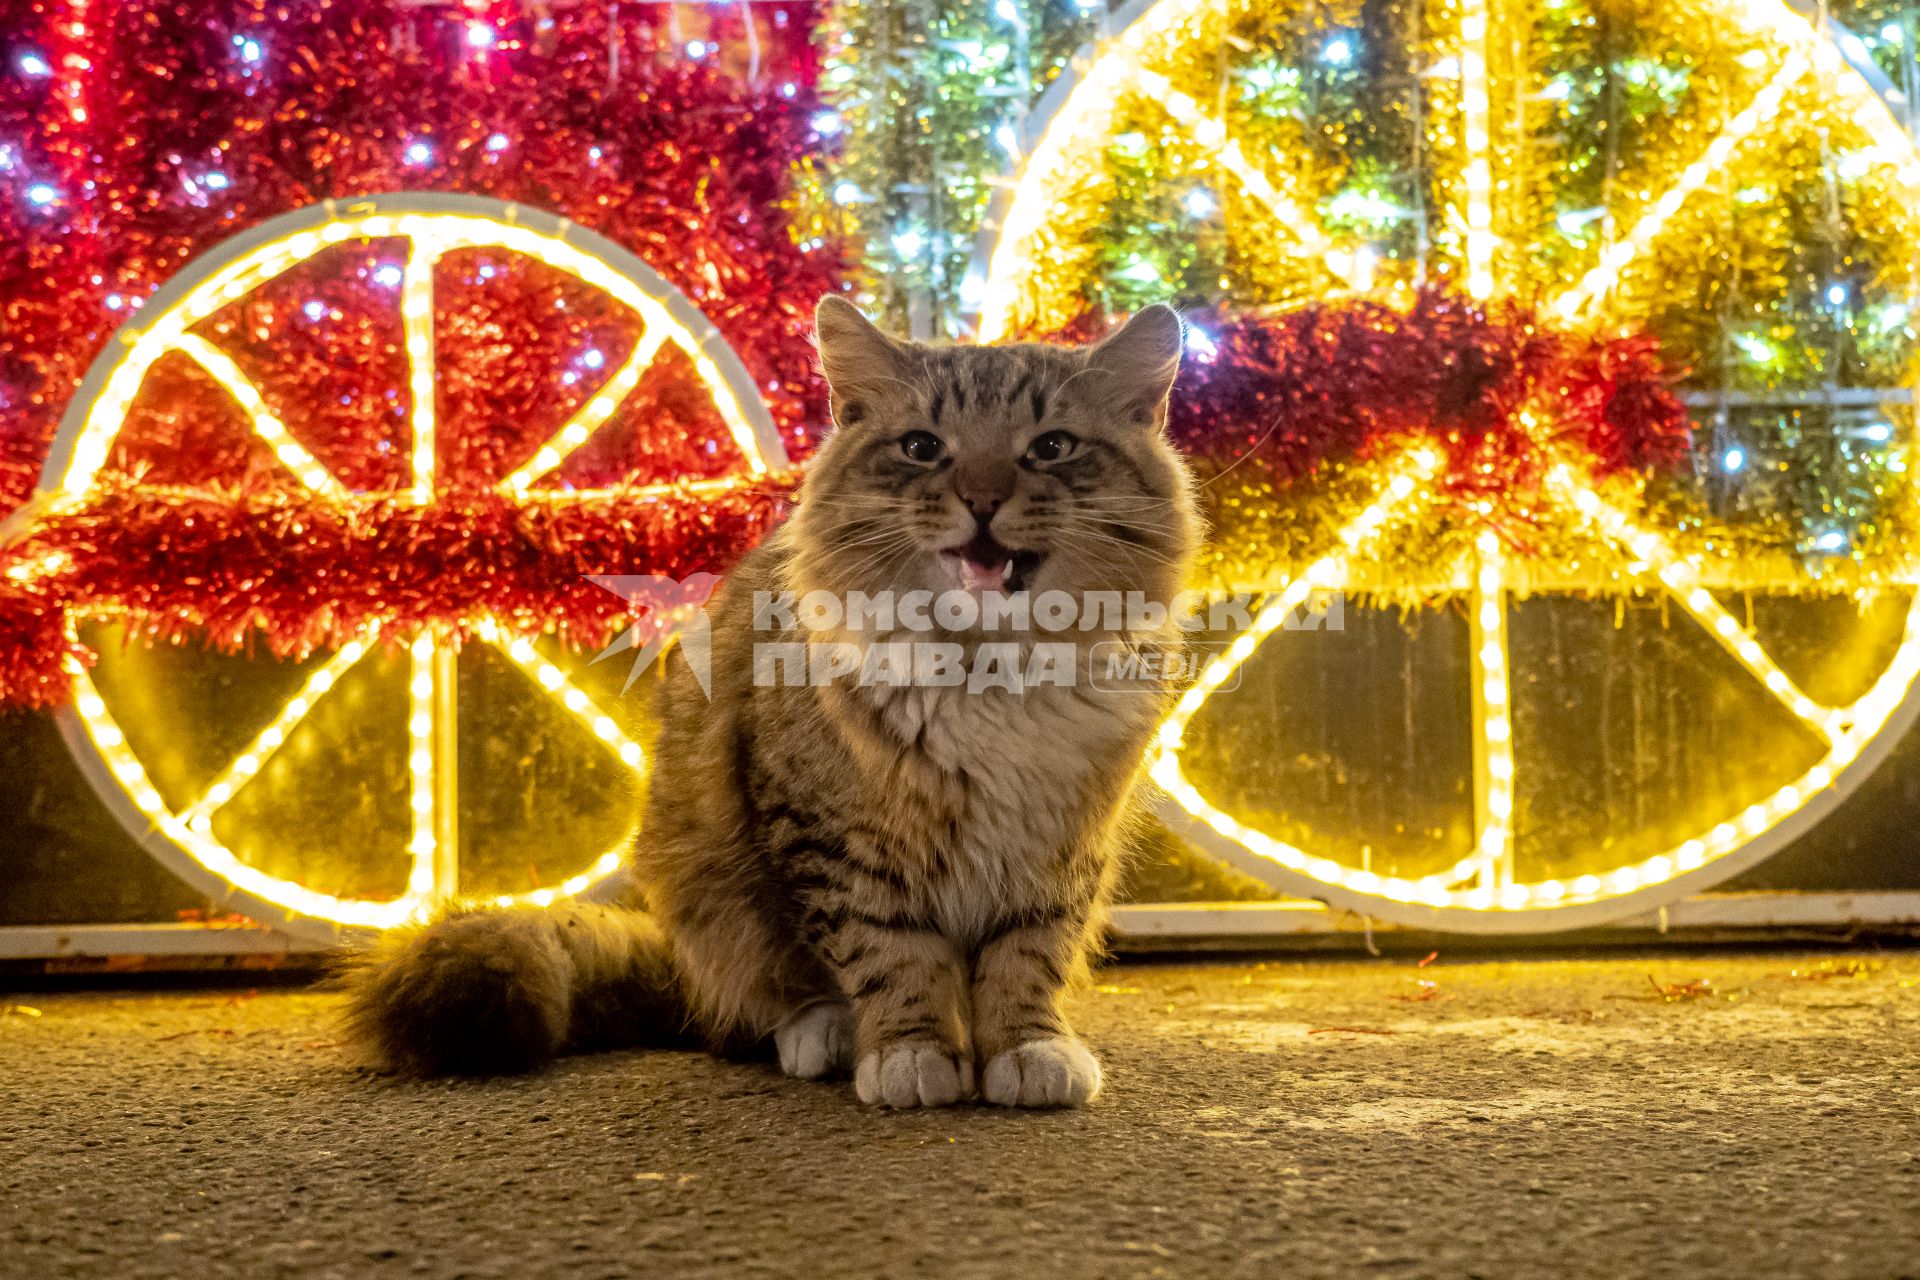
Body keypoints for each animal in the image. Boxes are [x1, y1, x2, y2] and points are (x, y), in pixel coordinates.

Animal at [337, 295, 1190, 1105]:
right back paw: (826, 1036)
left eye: (1052, 447)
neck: (990, 669)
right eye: (922, 448)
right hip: (708, 892)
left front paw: (1026, 1049)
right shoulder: (837, 836)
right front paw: (910, 1053)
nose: (981, 498)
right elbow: (892, 956)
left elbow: (1028, 960)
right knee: (762, 1006)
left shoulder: (1060, 845)